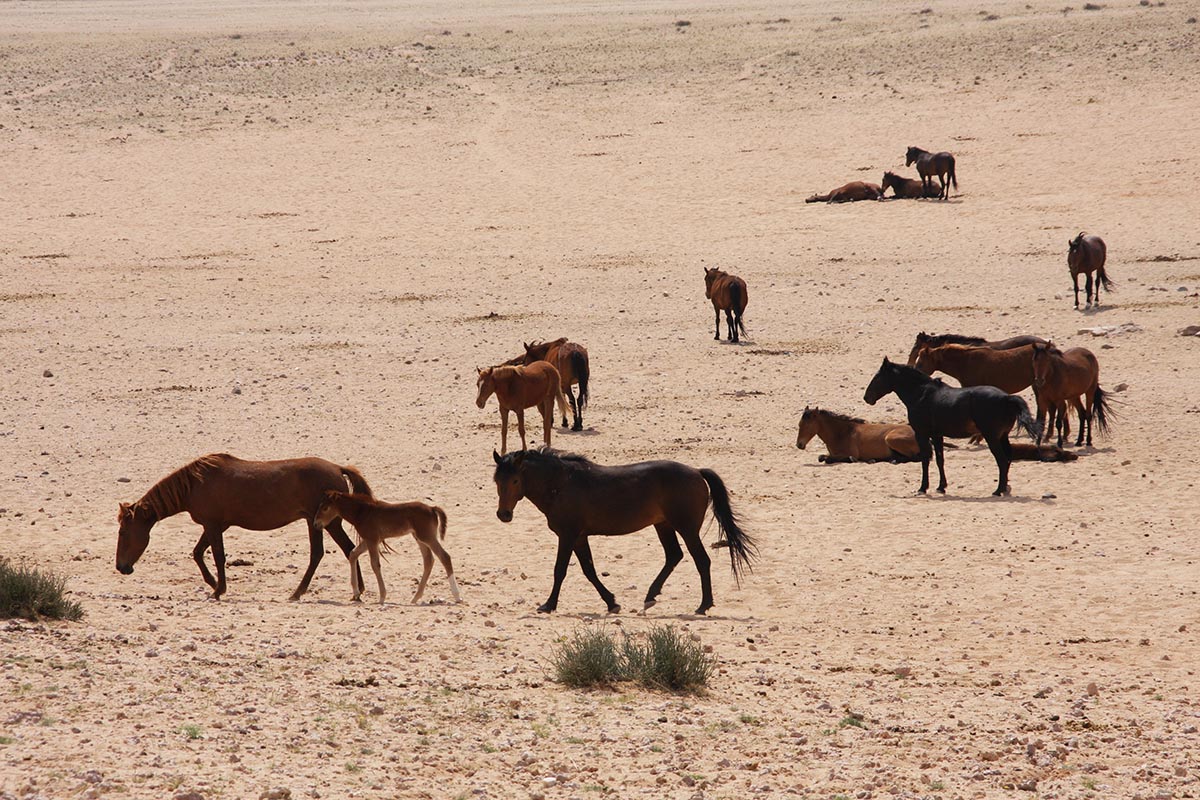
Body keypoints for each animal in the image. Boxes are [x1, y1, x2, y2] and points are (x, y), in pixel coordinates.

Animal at [115, 453, 371, 600]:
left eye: (123, 532)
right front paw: (214, 583)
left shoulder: (212, 525)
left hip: (324, 523)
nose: (121, 567)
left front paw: (218, 589)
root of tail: (337, 468)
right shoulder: (216, 526)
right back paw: (358, 589)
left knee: (326, 553)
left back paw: (299, 592)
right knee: (345, 550)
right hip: (321, 523)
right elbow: (198, 553)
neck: (195, 484)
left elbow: (217, 556)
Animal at [313, 491, 462, 605]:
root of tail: (432, 508)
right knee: (428, 561)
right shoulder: (370, 540)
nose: (316, 524)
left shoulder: (372, 540)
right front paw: (355, 593)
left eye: (325, 508)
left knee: (444, 556)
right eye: (320, 506)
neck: (362, 512)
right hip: (419, 538)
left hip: (427, 537)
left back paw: (457, 596)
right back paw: (415, 598)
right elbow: (353, 554)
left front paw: (382, 597)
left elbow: (374, 564)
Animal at [492, 448, 757, 615]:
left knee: (701, 560)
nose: (503, 515)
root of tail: (696, 471)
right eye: (497, 481)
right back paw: (651, 596)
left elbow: (560, 571)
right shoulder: (579, 537)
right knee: (674, 556)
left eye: (515, 481)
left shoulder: (567, 535)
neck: (562, 484)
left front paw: (548, 605)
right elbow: (589, 570)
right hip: (664, 526)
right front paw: (611, 603)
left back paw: (703, 605)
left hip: (687, 528)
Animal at [863, 358, 1041, 496]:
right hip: (1002, 437)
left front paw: (923, 488)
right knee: (1008, 459)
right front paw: (941, 487)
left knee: (1002, 461)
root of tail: (1006, 398)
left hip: (992, 438)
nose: (866, 398)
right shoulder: (937, 435)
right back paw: (1004, 488)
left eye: (877, 377)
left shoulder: (922, 434)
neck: (922, 394)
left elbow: (925, 460)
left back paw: (998, 490)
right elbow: (940, 460)